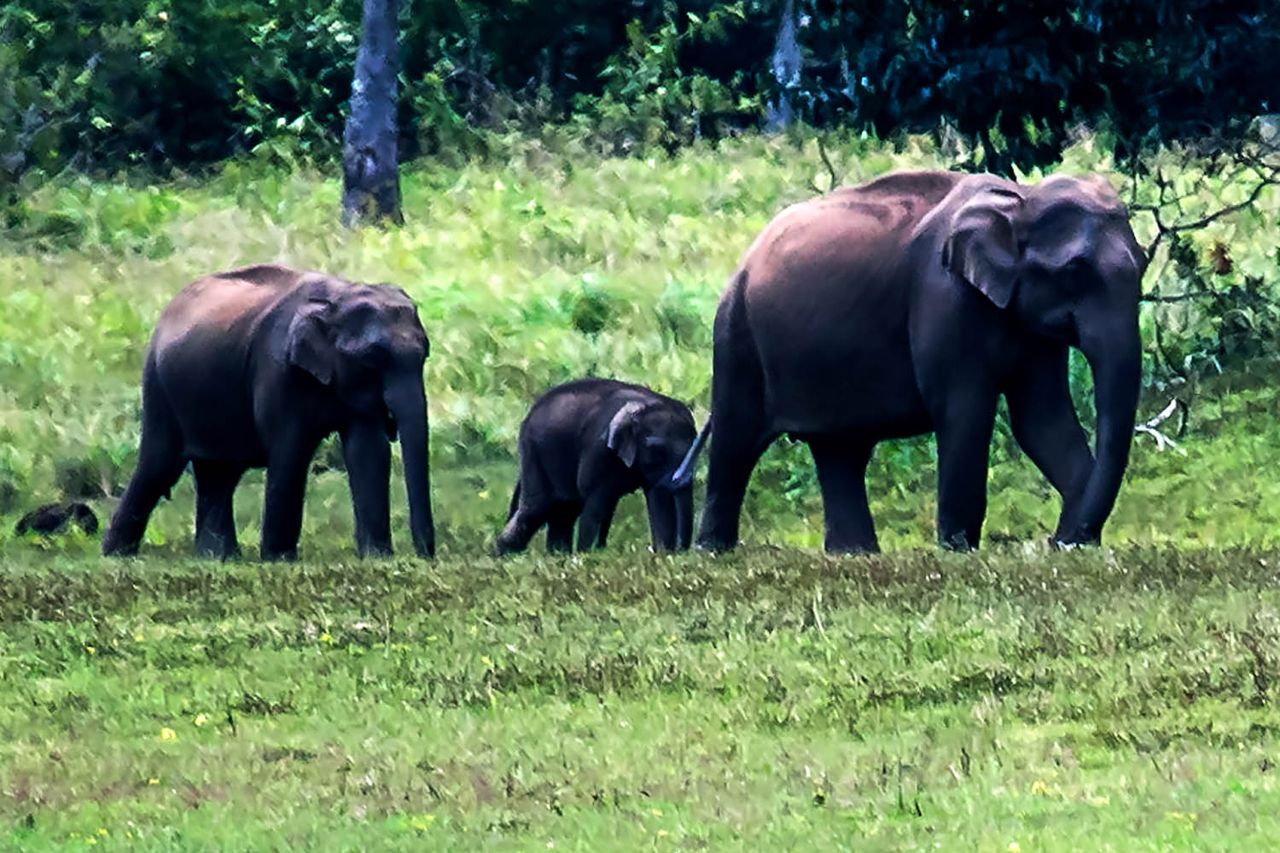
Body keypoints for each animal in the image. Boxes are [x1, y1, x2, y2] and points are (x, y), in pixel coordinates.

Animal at [101, 263, 434, 560]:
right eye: (372, 357)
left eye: (425, 353)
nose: (426, 556)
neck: (337, 297)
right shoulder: (277, 369)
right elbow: (291, 451)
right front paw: (278, 559)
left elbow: (367, 452)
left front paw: (378, 557)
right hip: (159, 386)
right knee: (159, 465)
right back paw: (117, 554)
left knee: (218, 474)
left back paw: (219, 558)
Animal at [494, 378, 697, 555]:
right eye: (657, 450)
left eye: (696, 446)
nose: (682, 552)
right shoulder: (598, 449)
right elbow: (595, 506)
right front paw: (588, 555)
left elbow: (657, 503)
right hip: (533, 450)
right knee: (538, 507)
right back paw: (501, 556)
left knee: (565, 510)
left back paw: (558, 556)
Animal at [672, 169, 1147, 553]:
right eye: (1074, 271)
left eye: (1143, 263)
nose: (1055, 540)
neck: (1020, 198)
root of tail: (745, 260)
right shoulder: (943, 297)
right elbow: (965, 412)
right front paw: (958, 549)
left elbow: (1042, 420)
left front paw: (1074, 544)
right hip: (736, 333)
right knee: (737, 438)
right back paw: (713, 552)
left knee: (839, 450)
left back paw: (854, 554)